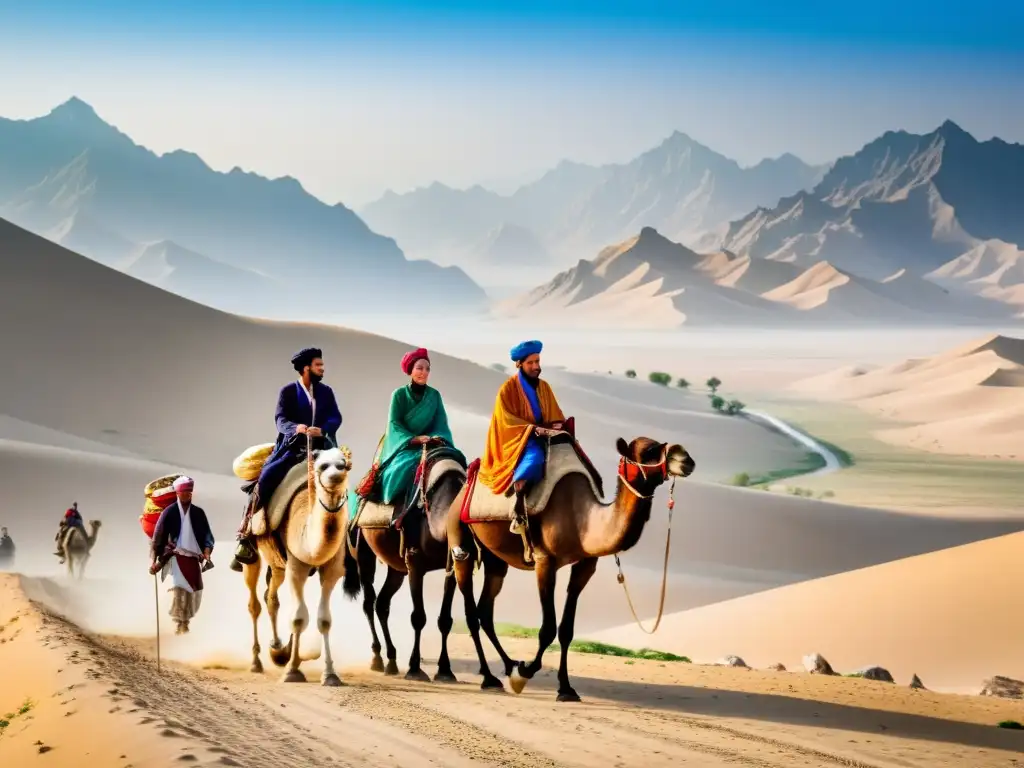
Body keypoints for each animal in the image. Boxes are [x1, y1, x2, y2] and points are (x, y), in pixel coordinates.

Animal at [241, 448, 354, 688]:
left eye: (344, 464)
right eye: (322, 466)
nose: (335, 476)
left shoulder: (332, 570)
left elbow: (324, 620)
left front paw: (330, 674)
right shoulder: (296, 565)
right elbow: (298, 618)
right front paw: (292, 672)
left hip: (278, 565)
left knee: (271, 596)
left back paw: (277, 648)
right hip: (254, 550)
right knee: (254, 602)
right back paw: (256, 662)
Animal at [444, 436, 692, 700]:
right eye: (648, 451)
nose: (686, 459)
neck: (581, 519)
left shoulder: (586, 564)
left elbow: (566, 630)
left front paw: (565, 688)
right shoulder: (545, 561)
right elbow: (547, 629)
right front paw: (524, 674)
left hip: (495, 558)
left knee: (485, 610)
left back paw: (509, 665)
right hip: (460, 537)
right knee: (471, 612)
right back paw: (490, 677)